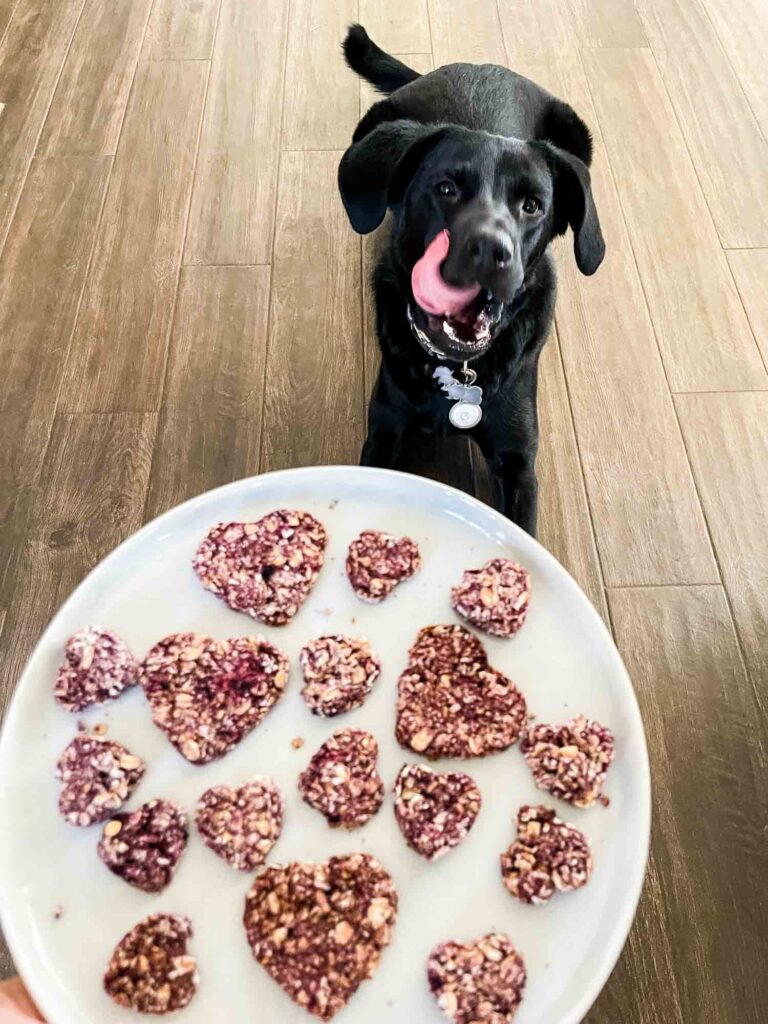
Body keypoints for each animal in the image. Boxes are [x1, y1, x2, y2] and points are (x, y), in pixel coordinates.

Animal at [339, 24, 606, 536]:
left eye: (532, 205)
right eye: (445, 188)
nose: (490, 251)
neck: (460, 371)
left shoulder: (517, 459)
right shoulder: (384, 431)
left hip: (574, 128)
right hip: (375, 120)